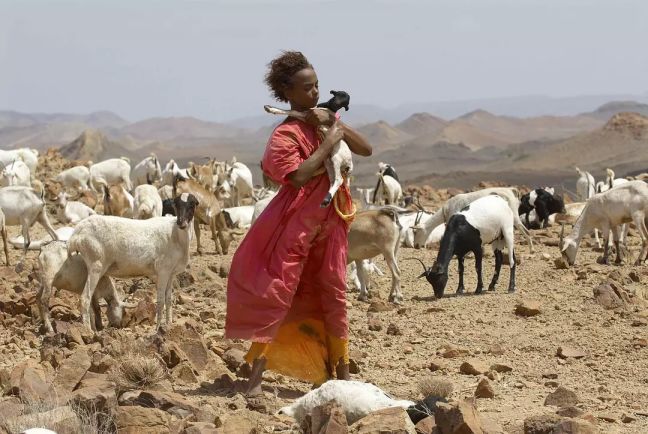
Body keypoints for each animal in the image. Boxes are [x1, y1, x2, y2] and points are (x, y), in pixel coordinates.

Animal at [67, 193, 200, 328]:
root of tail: (76, 234)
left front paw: (168, 325)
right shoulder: (163, 271)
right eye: (176, 204)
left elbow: (168, 300)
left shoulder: (171, 273)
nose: (181, 223)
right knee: (85, 298)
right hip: (96, 264)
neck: (176, 234)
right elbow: (161, 300)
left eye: (192, 204)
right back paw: (87, 329)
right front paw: (158, 328)